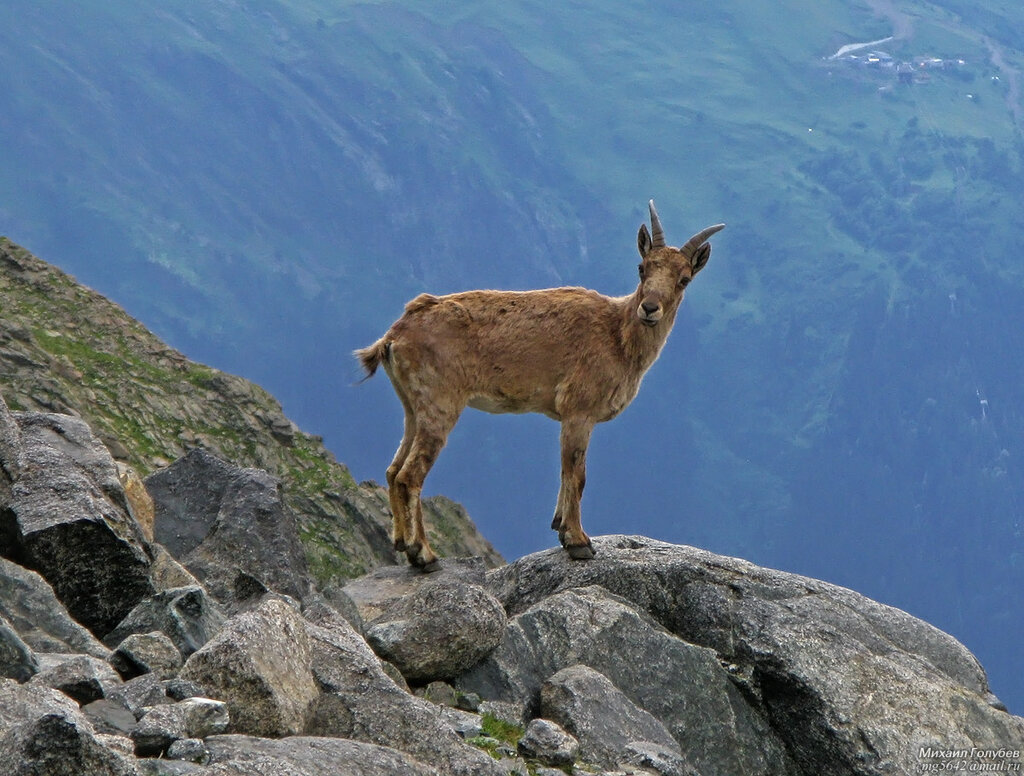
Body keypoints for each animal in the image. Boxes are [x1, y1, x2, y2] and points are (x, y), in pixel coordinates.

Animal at [356, 201, 724, 573]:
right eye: (642, 268)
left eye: (684, 279)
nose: (649, 308)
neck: (617, 335)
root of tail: (394, 335)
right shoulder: (579, 410)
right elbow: (577, 473)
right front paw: (578, 542)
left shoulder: (569, 417)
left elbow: (565, 472)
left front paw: (560, 528)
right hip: (440, 403)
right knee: (410, 475)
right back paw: (424, 555)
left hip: (412, 406)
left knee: (393, 470)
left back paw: (402, 543)